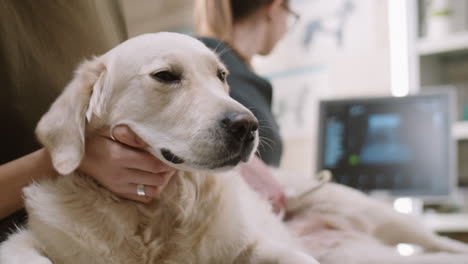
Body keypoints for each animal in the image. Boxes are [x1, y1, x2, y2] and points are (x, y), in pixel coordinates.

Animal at [0, 32, 318, 262]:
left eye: (221, 75)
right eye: (165, 75)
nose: (247, 126)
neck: (154, 211)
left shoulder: (249, 243)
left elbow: (302, 258)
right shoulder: (30, 241)